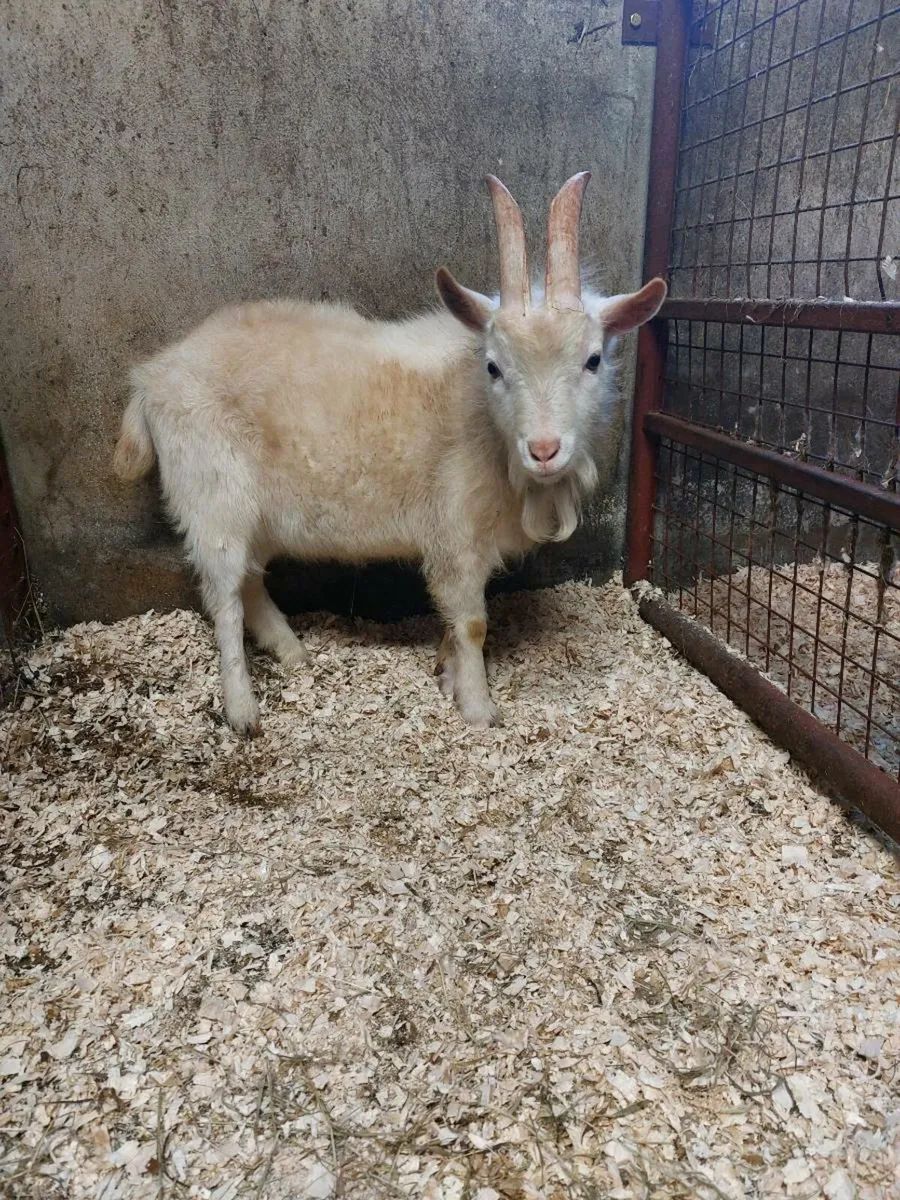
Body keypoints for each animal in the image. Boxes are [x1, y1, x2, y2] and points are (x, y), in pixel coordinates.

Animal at [113, 173, 666, 733]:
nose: (544, 449)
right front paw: (478, 707)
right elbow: (471, 623)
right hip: (212, 496)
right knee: (223, 596)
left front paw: (446, 673)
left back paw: (293, 653)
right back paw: (243, 709)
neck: (484, 423)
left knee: (249, 580)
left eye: (593, 360)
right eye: (493, 366)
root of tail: (153, 375)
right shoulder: (455, 529)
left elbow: (454, 623)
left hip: (259, 512)